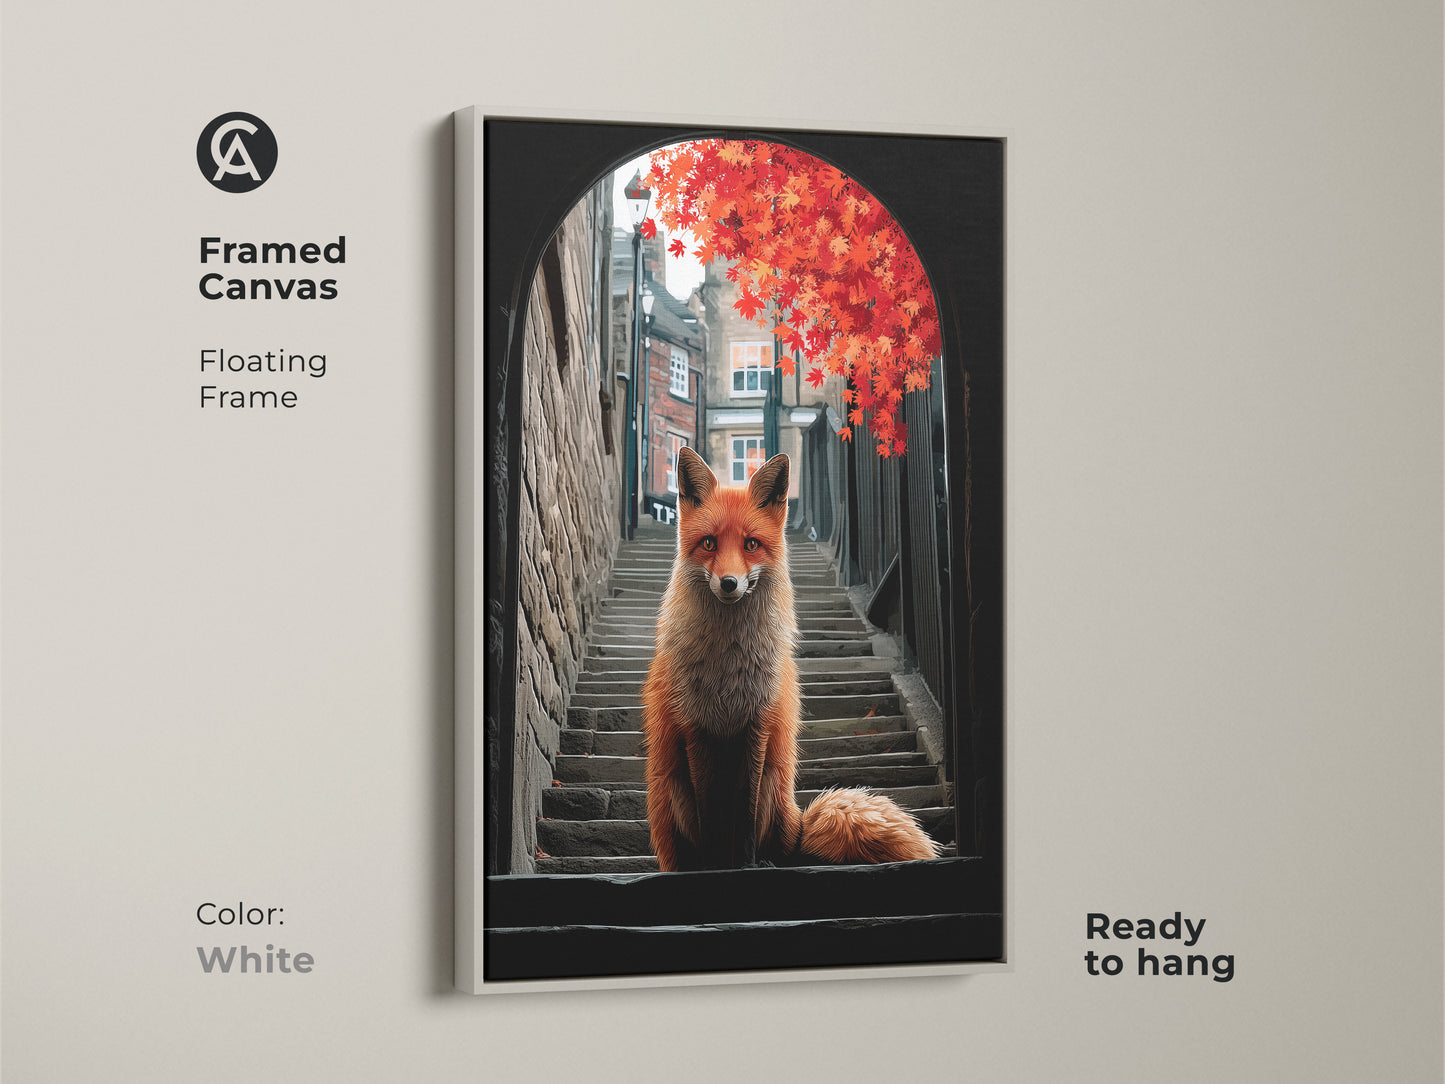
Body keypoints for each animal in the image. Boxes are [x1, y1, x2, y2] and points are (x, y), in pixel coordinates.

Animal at [641, 447, 939, 872]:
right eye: (709, 543)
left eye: (751, 545)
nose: (729, 584)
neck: (727, 662)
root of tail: (796, 824)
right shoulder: (696, 725)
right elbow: (712, 815)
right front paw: (716, 866)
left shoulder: (757, 723)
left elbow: (743, 816)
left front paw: (744, 865)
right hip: (674, 787)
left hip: (772, 784)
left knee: (780, 848)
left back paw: (769, 861)